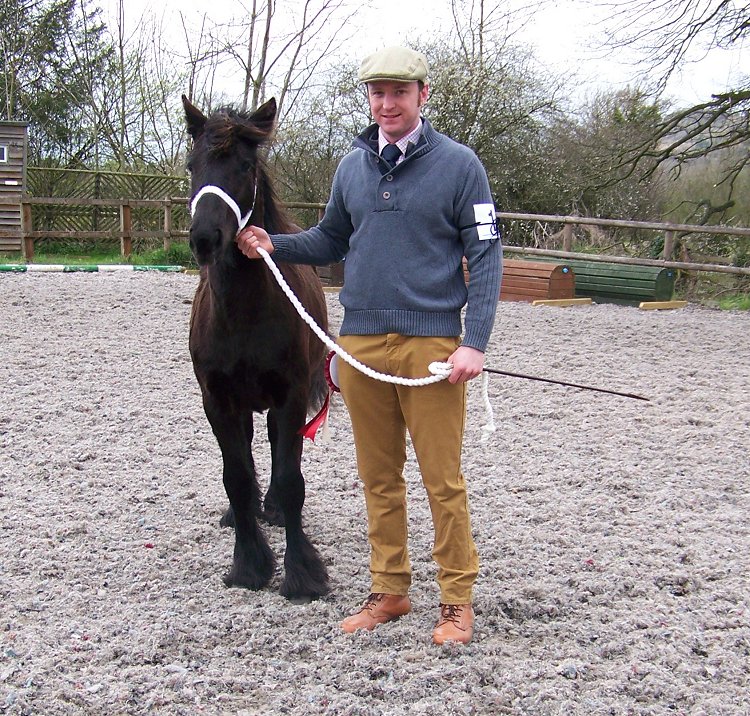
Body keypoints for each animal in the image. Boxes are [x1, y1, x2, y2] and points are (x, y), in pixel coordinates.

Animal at [182, 93, 328, 600]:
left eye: (245, 166)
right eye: (192, 165)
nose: (205, 239)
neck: (243, 314)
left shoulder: (290, 395)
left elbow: (290, 476)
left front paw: (302, 572)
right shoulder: (217, 400)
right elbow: (237, 476)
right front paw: (249, 562)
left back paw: (277, 511)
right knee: (246, 451)